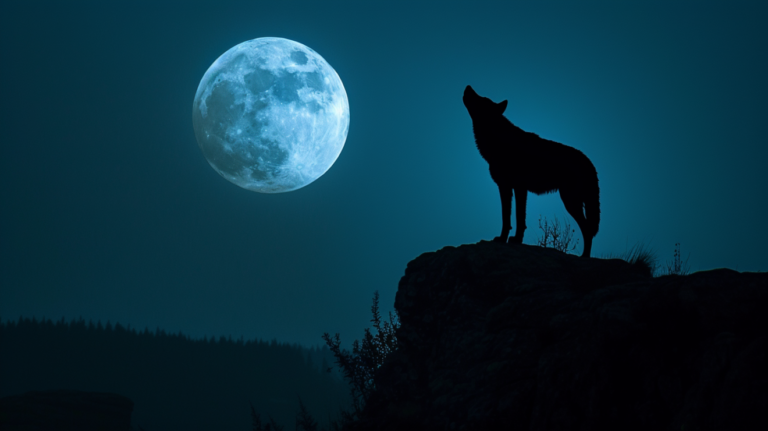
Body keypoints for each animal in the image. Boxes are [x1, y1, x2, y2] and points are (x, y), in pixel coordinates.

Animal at [463, 85, 600, 257]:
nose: (468, 86)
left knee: (587, 230)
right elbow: (511, 218)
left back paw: (584, 257)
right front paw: (508, 239)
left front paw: (511, 239)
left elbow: (515, 217)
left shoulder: (516, 187)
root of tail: (589, 162)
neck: (499, 140)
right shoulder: (510, 188)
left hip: (570, 201)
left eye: (481, 99)